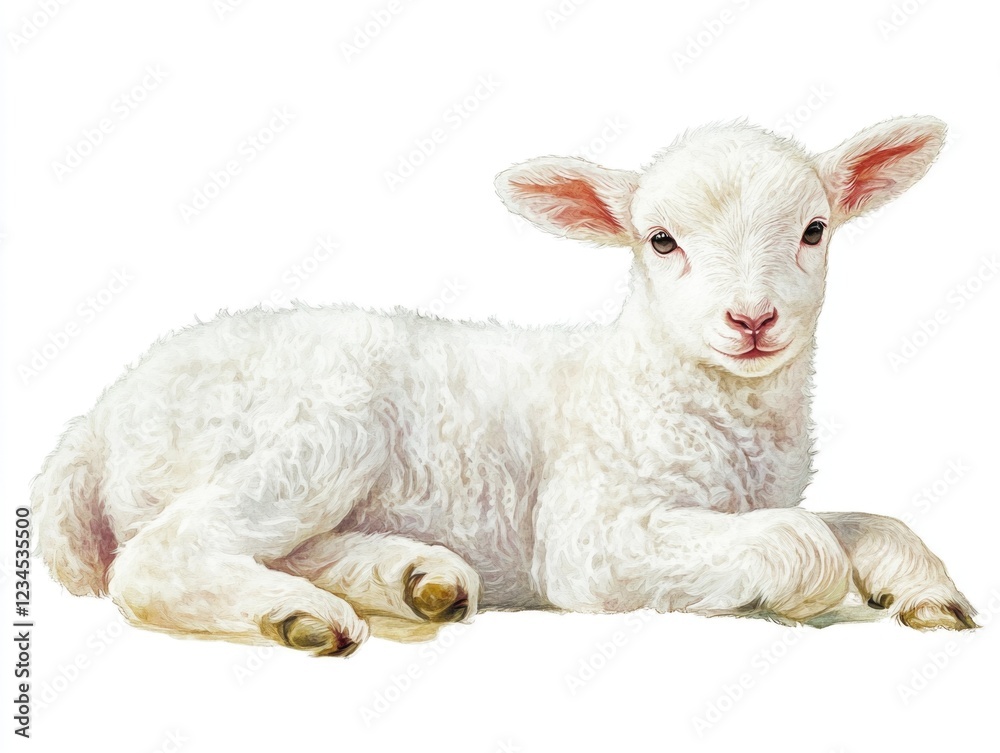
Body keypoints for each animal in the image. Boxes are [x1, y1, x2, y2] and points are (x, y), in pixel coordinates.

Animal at [32, 115, 976, 656]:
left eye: (815, 229)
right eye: (660, 240)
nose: (752, 320)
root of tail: (97, 421)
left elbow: (863, 521)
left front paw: (926, 591)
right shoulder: (594, 533)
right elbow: (806, 544)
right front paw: (808, 590)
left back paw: (413, 580)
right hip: (321, 427)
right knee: (158, 557)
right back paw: (298, 618)